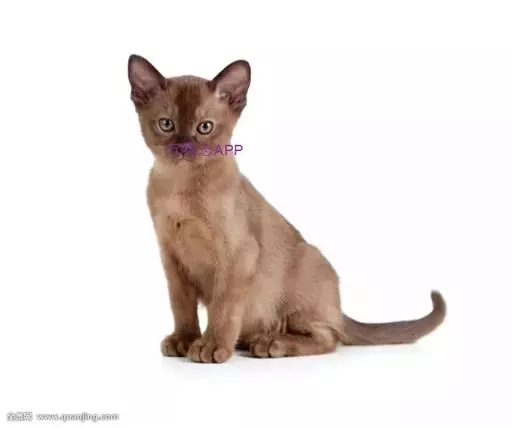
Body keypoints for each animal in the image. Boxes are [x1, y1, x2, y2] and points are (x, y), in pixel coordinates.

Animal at [127, 54, 446, 363]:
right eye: (166, 124)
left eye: (205, 127)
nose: (183, 148)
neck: (182, 187)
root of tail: (339, 309)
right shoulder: (171, 258)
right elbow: (181, 306)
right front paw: (184, 340)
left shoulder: (239, 255)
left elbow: (224, 308)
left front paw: (211, 345)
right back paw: (254, 340)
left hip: (306, 265)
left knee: (328, 338)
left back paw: (270, 343)